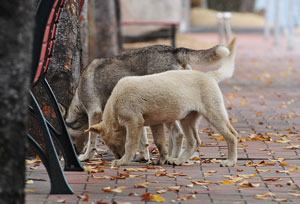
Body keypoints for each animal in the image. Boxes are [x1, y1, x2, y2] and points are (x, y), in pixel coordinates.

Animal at [59, 43, 229, 162]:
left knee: (178, 134)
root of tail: (174, 50)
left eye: (70, 138)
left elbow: (92, 140)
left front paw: (87, 157)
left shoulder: (94, 113)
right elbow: (143, 140)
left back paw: (172, 158)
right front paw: (143, 156)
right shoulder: (136, 114)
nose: (74, 153)